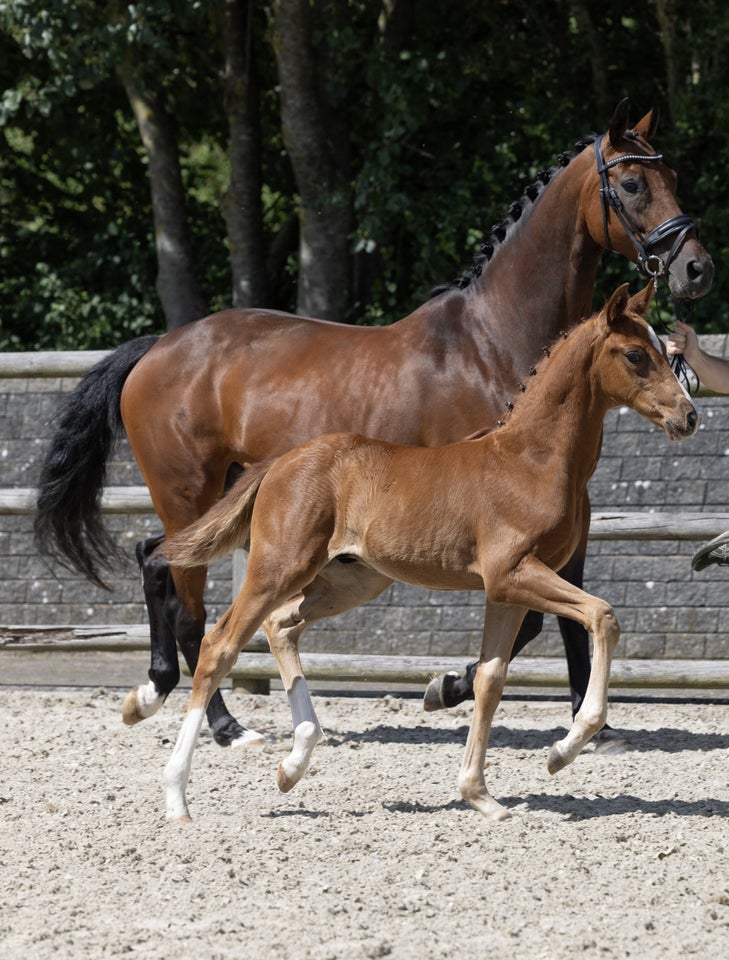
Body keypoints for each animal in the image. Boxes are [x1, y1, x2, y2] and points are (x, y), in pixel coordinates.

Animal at [34, 99, 712, 752]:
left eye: (675, 176)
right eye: (631, 183)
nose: (696, 268)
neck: (493, 340)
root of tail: (156, 348)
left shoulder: (563, 518)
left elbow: (562, 615)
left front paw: (591, 726)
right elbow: (541, 621)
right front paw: (447, 688)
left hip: (220, 493)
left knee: (156, 561)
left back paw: (161, 696)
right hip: (187, 490)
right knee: (186, 599)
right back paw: (222, 724)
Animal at [161, 282, 700, 820]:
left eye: (665, 349)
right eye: (635, 355)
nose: (689, 416)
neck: (531, 460)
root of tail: (277, 463)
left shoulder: (505, 590)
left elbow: (490, 678)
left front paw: (480, 795)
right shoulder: (512, 573)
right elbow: (602, 616)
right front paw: (561, 752)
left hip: (352, 580)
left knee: (280, 625)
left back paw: (293, 764)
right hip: (279, 566)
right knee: (220, 646)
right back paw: (178, 795)